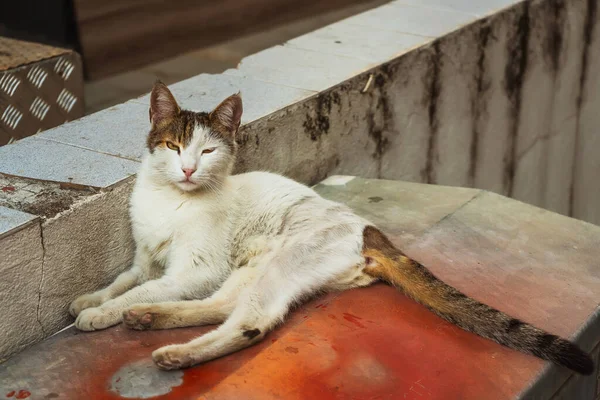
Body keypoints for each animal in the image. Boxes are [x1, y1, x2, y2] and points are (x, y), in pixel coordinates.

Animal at [68, 81, 592, 376]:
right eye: (174, 147)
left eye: (208, 151)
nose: (189, 170)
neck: (170, 200)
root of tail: (369, 230)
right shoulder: (147, 258)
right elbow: (126, 280)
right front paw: (90, 300)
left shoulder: (195, 268)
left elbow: (138, 288)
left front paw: (100, 314)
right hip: (251, 267)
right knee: (220, 306)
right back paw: (150, 318)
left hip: (282, 262)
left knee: (249, 323)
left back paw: (174, 351)